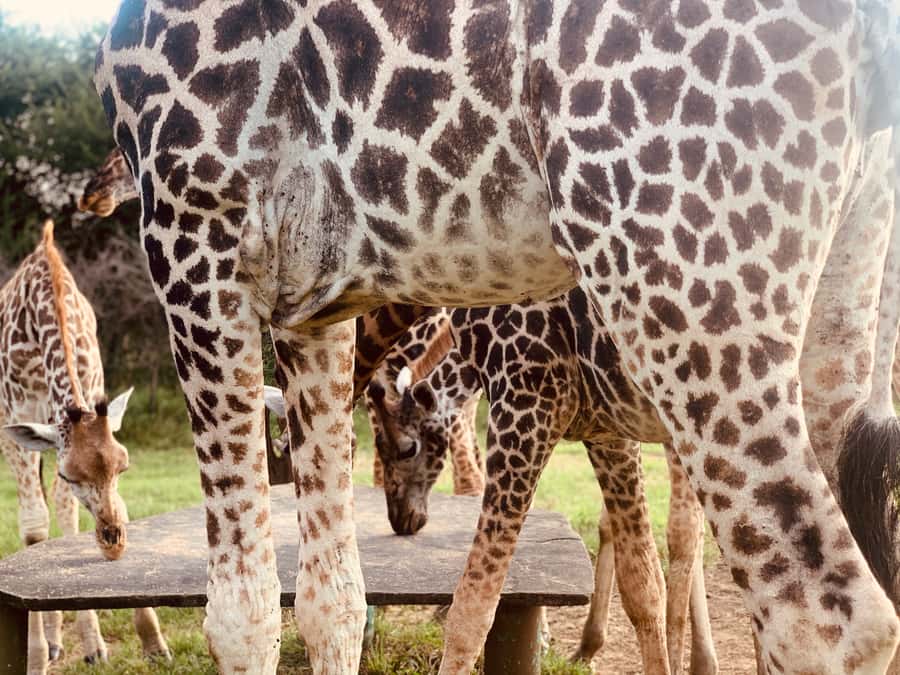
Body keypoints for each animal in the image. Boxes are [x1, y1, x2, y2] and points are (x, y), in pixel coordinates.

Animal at [0, 221, 169, 672]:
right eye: (68, 472)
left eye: (123, 466)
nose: (113, 544)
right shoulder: (18, 425)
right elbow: (34, 528)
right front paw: (36, 655)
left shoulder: (94, 395)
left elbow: (104, 507)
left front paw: (151, 641)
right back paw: (56, 644)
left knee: (64, 510)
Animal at [365, 285, 716, 674]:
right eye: (380, 445)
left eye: (407, 449)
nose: (401, 518)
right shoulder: (610, 431)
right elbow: (641, 571)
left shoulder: (533, 409)